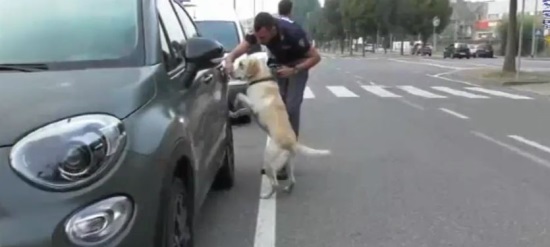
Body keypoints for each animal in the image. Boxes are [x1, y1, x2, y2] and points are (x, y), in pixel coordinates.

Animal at [233, 56, 332, 199]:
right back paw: (288, 190)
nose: (230, 73)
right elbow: (241, 109)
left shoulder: (254, 106)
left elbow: (239, 95)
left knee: (275, 184)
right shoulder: (250, 109)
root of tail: (293, 143)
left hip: (269, 161)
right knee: (292, 180)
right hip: (289, 163)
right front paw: (233, 113)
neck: (261, 78)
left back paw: (266, 195)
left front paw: (235, 103)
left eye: (241, 64)